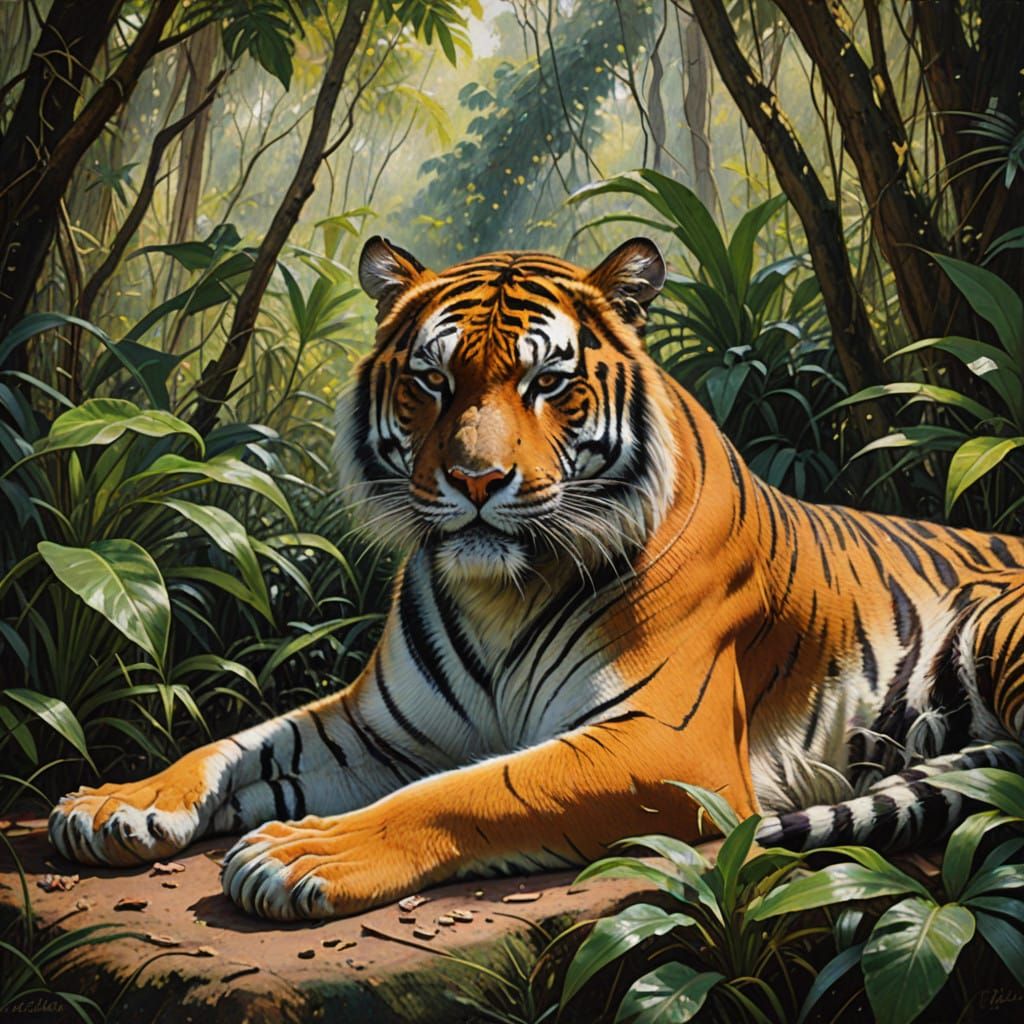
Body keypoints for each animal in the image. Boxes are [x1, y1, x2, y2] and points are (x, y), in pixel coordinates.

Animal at [49, 235, 1024, 921]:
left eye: (548, 382)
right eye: (432, 381)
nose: (476, 481)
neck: (499, 596)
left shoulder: (667, 745)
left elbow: (475, 787)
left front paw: (301, 855)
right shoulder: (375, 730)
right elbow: (237, 746)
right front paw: (115, 804)